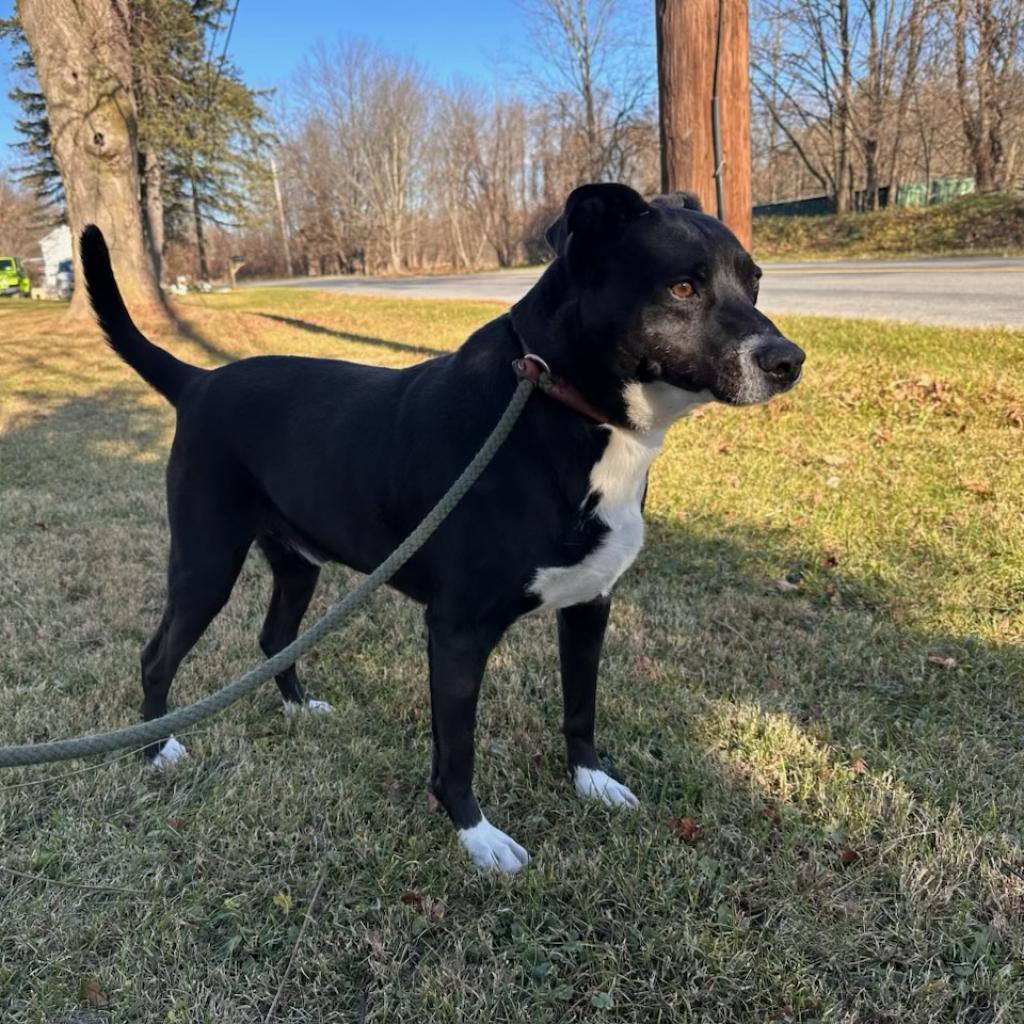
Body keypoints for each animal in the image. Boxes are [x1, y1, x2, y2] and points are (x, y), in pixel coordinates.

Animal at [79, 184, 802, 872]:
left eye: (755, 280)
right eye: (682, 288)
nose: (789, 360)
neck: (559, 403)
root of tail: (198, 382)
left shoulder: (591, 605)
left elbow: (581, 707)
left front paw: (591, 782)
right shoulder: (458, 630)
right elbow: (457, 747)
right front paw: (476, 836)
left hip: (297, 562)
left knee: (275, 637)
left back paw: (296, 708)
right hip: (206, 562)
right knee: (157, 656)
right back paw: (155, 748)